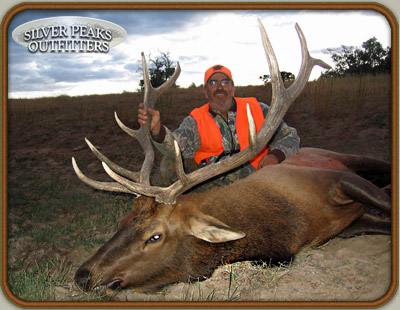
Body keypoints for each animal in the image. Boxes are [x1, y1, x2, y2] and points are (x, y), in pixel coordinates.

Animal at [71, 21, 390, 294]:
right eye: (123, 221)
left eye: (155, 236)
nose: (83, 275)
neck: (292, 223)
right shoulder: (346, 226)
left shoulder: (339, 179)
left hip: (350, 158)